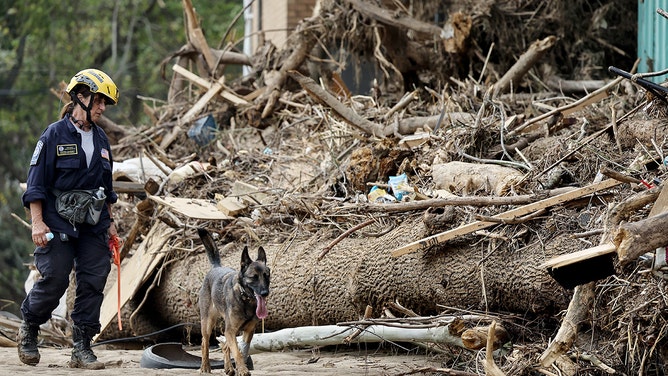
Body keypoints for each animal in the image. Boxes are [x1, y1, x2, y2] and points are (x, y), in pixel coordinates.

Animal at [197, 228, 270, 374]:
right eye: (254, 277)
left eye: (267, 276)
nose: (265, 293)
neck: (245, 300)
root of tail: (216, 267)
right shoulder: (230, 330)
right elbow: (236, 352)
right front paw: (242, 370)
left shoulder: (247, 331)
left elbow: (242, 350)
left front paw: (241, 367)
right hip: (208, 323)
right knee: (204, 343)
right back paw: (205, 366)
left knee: (225, 346)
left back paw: (229, 368)